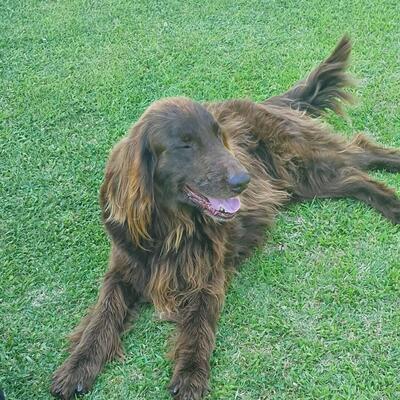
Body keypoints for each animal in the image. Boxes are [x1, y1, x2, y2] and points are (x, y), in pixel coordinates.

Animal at [51, 36, 400, 400]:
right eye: (185, 145)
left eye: (220, 138)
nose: (243, 180)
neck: (171, 227)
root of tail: (263, 102)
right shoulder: (122, 271)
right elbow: (102, 318)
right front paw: (77, 366)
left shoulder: (206, 276)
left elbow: (197, 327)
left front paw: (190, 375)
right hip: (309, 181)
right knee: (358, 178)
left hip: (305, 162)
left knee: (362, 152)